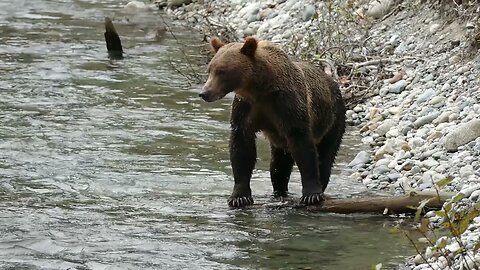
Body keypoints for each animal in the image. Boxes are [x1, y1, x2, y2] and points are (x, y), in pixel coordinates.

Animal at [199, 37, 344, 208]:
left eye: (222, 71)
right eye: (210, 70)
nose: (204, 93)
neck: (259, 88)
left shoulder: (287, 104)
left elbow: (302, 144)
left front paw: (312, 194)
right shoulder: (246, 108)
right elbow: (241, 147)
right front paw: (239, 196)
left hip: (333, 120)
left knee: (325, 157)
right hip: (280, 142)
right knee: (278, 167)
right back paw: (279, 191)